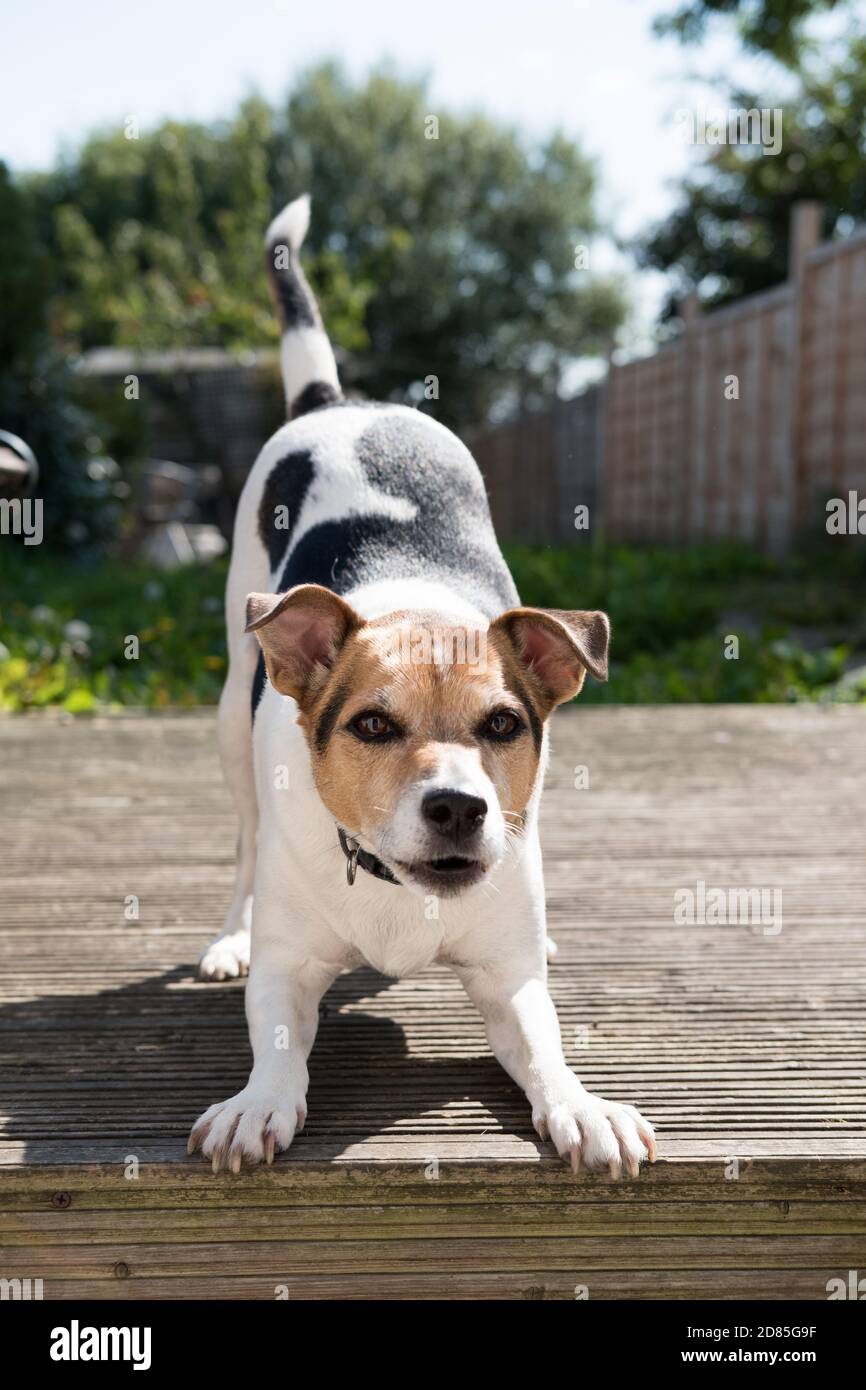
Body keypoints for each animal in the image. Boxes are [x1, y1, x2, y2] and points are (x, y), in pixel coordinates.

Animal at [186, 193, 653, 1173]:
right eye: (371, 726)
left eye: (505, 726)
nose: (459, 808)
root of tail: (340, 402)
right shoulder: (290, 968)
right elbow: (276, 1035)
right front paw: (258, 1102)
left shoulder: (509, 984)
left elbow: (544, 1041)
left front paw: (580, 1103)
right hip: (230, 717)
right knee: (244, 842)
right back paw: (228, 933)